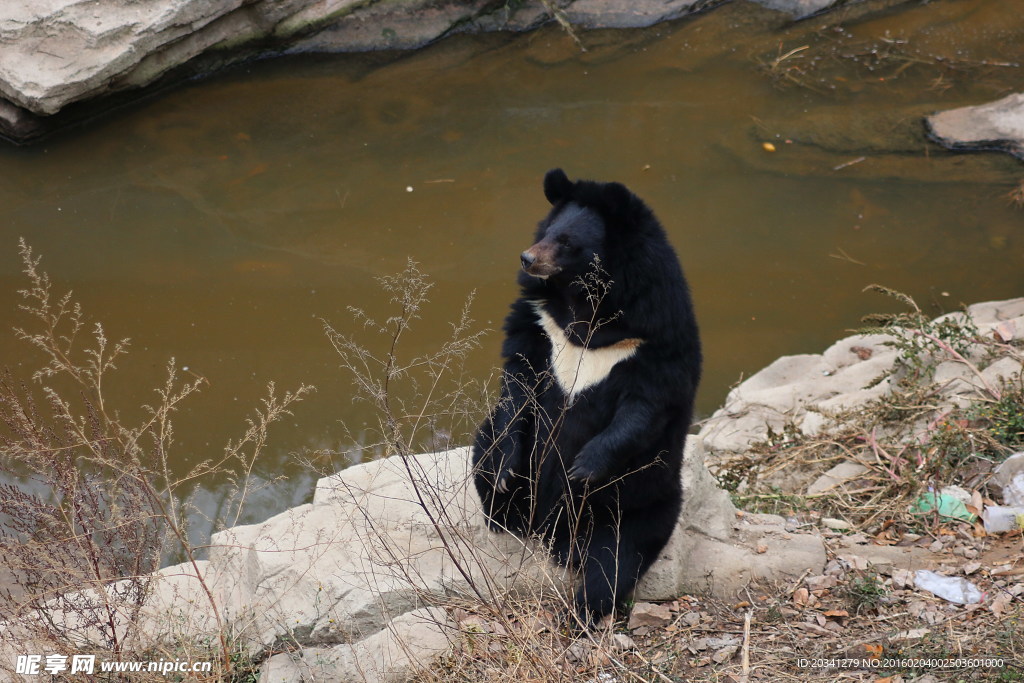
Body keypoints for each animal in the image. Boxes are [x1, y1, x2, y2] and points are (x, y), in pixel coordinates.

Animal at [473, 169, 704, 630]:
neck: (586, 299)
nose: (527, 258)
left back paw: (580, 609)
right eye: (547, 230)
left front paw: (581, 468)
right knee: (487, 443)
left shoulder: (655, 334)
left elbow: (646, 403)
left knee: (613, 563)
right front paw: (506, 469)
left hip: (636, 501)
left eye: (566, 242)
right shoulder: (540, 319)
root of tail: (549, 530)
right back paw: (503, 507)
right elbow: (519, 376)